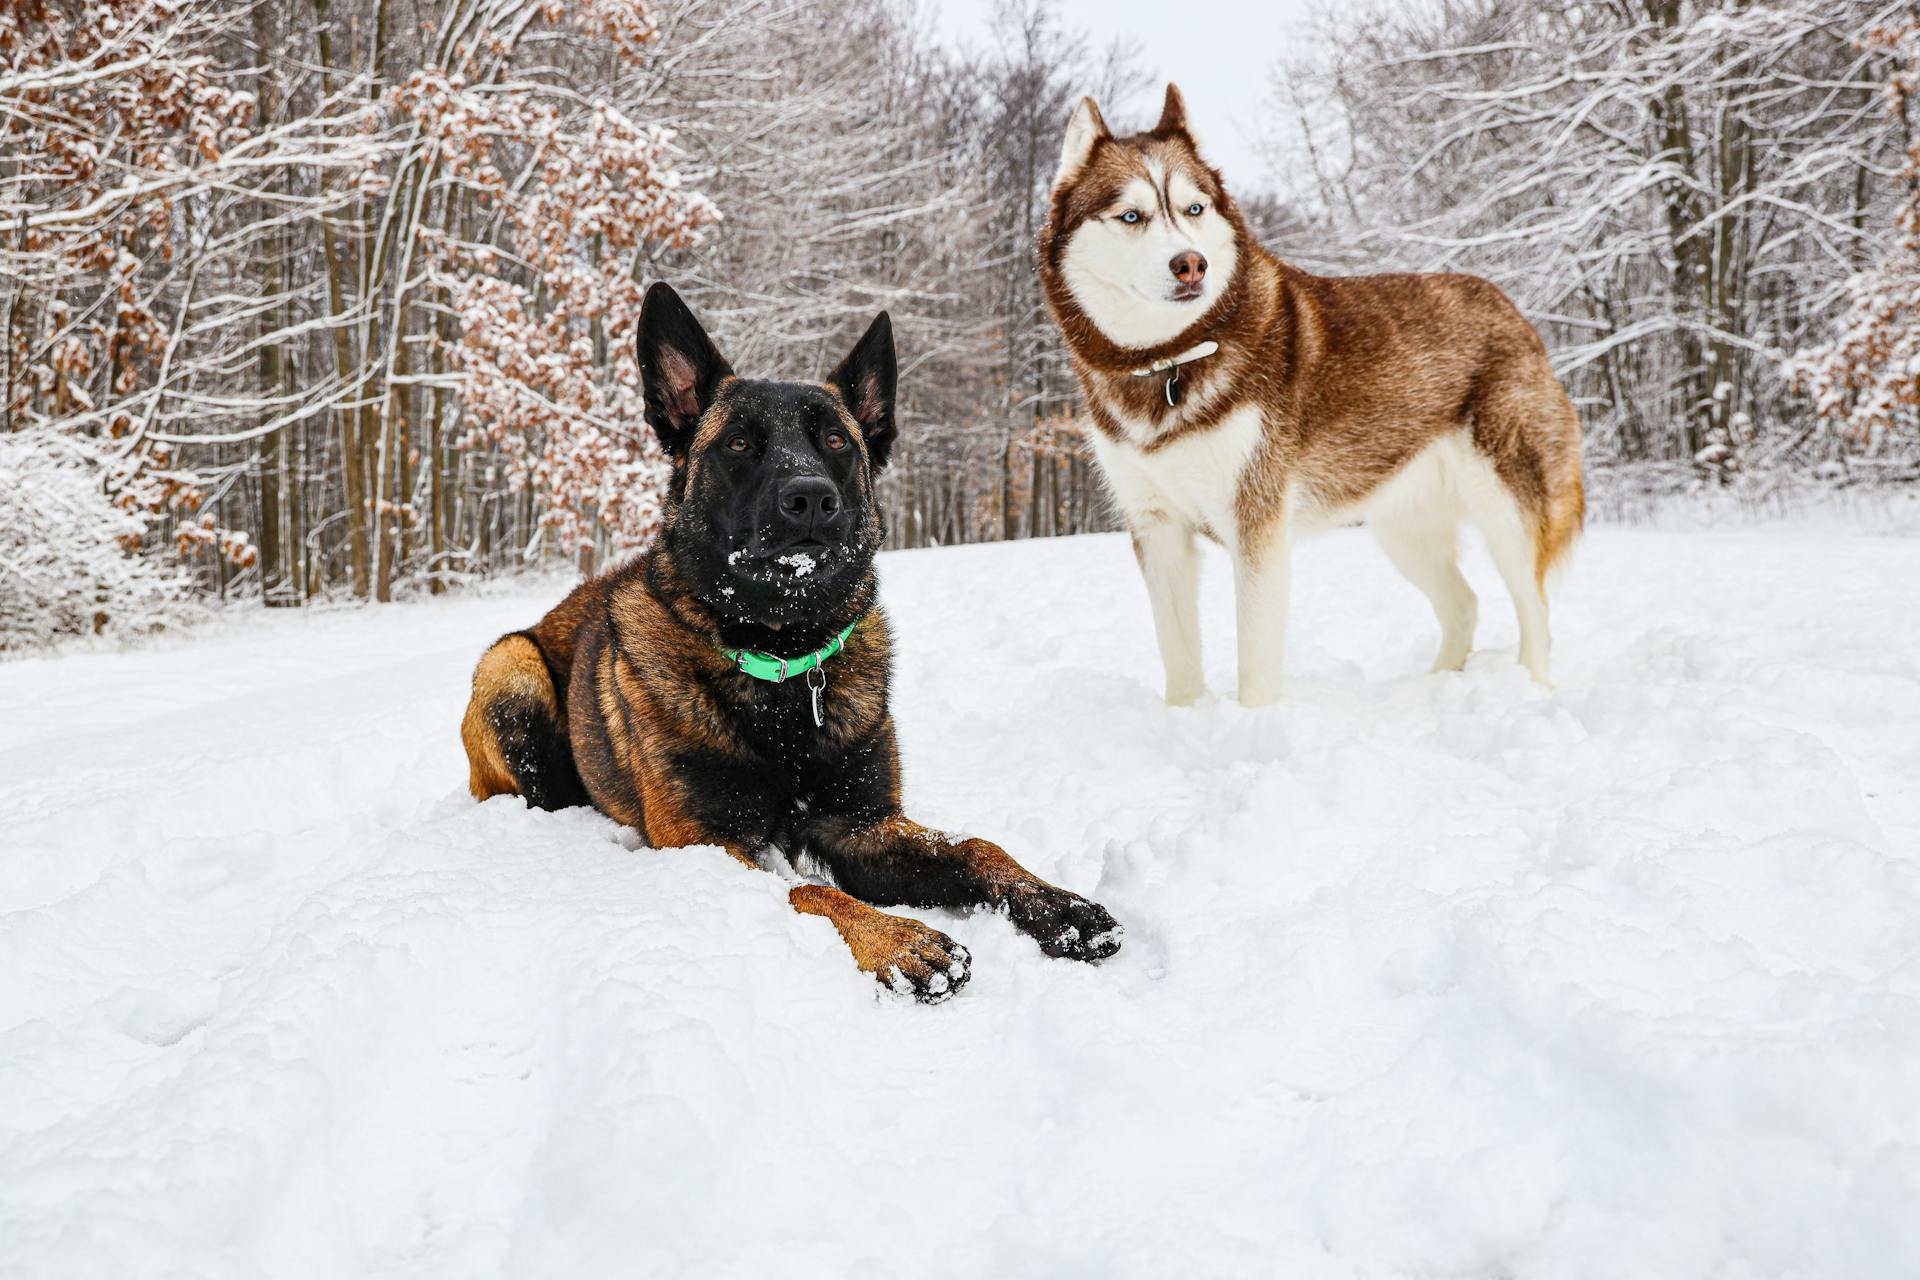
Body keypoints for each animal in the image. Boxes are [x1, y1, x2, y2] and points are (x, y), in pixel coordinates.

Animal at [456, 282, 1121, 997]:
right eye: (740, 444)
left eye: (835, 439)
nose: (811, 499)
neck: (782, 662)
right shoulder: (705, 845)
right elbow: (808, 890)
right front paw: (899, 939)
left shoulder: (860, 824)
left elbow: (976, 847)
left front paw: (1059, 905)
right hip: (511, 665)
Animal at [1044, 87, 1582, 710]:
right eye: (1131, 216)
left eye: (1194, 209)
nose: (1191, 264)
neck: (1171, 361)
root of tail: (1510, 306)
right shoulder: (1156, 528)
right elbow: (1178, 657)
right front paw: (1186, 719)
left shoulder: (1256, 525)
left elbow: (1254, 662)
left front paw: (1252, 724)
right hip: (1403, 527)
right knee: (1463, 605)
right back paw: (1434, 686)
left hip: (1506, 510)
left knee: (1536, 610)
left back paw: (1533, 691)